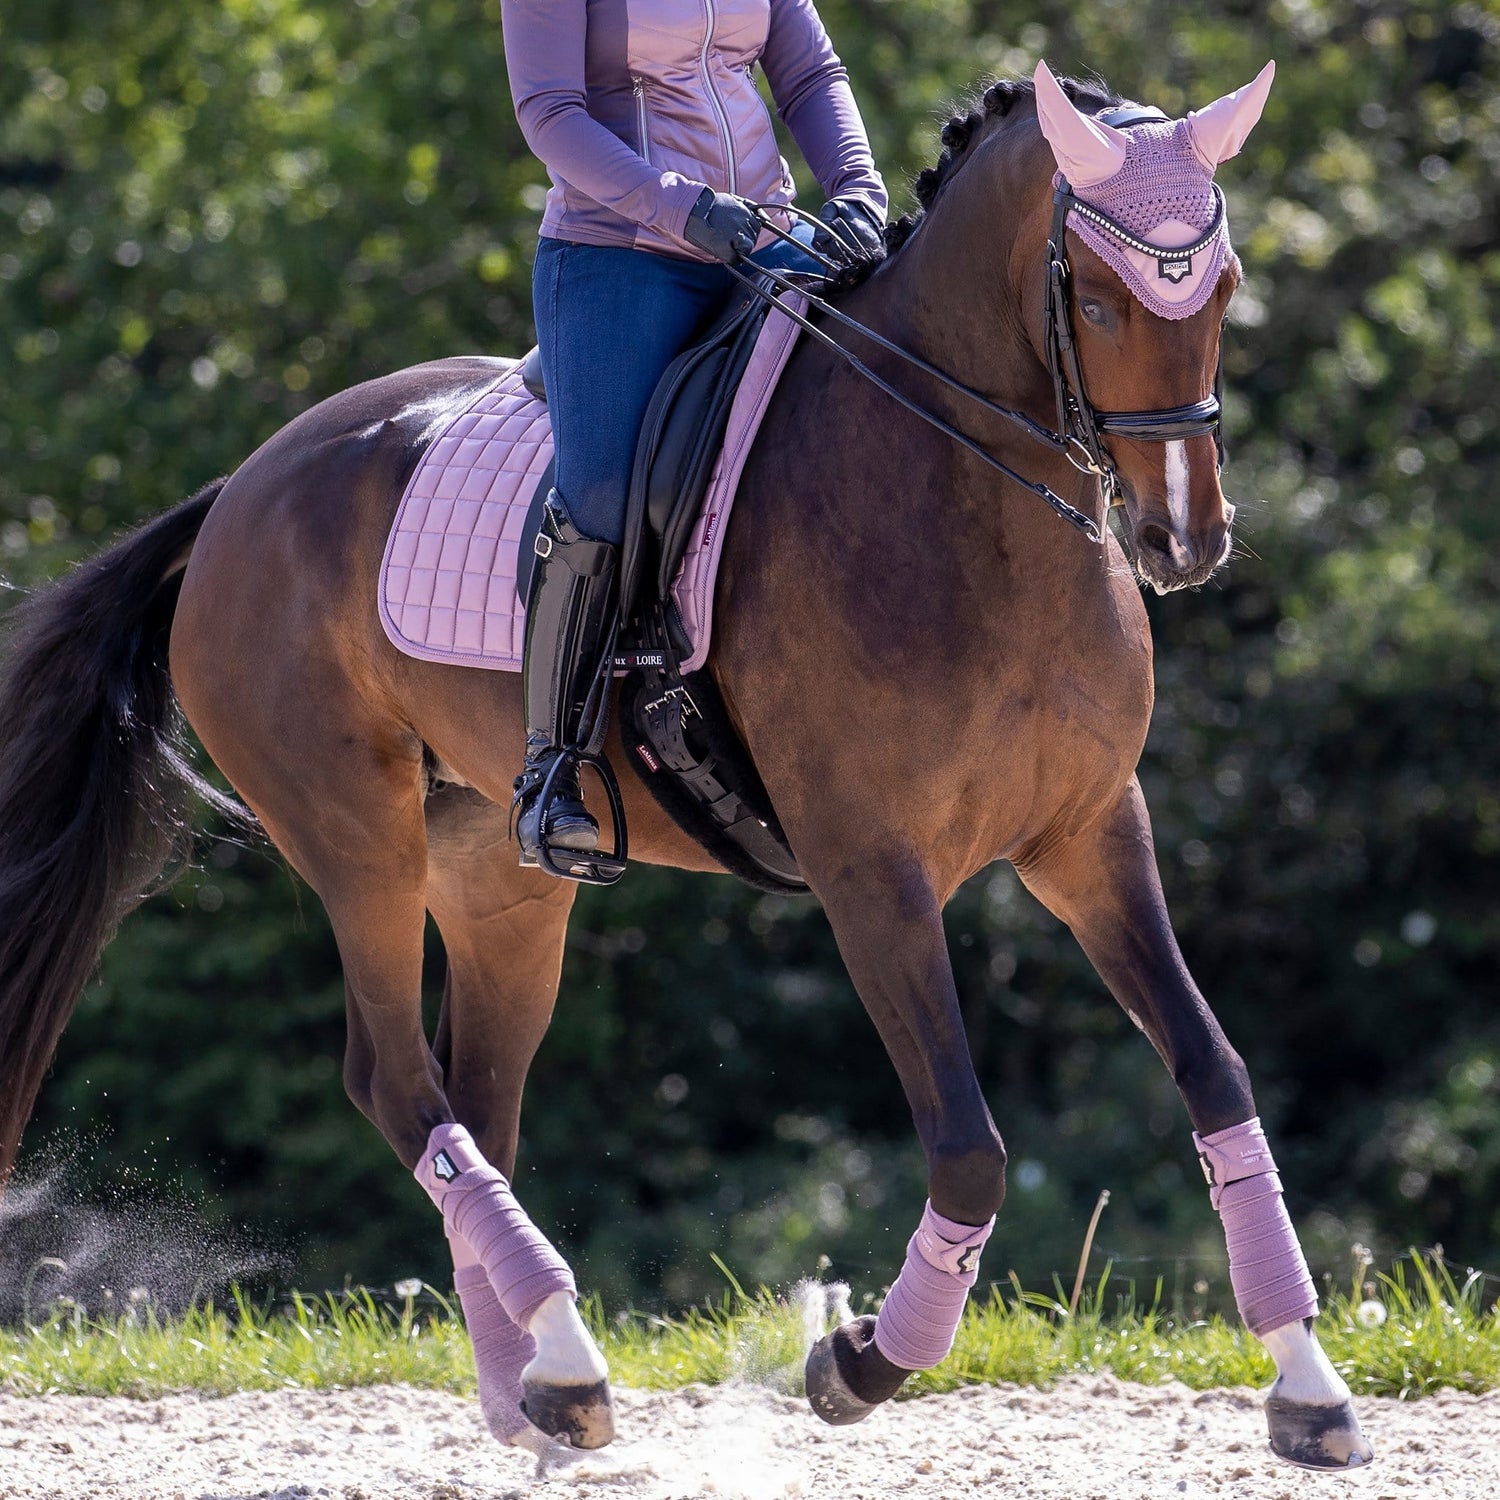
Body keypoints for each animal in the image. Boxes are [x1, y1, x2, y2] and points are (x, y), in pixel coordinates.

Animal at [0, 64, 1374, 1470]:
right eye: (1096, 299)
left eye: (1225, 287)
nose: (1183, 538)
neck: (967, 495)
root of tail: (240, 490)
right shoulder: (872, 872)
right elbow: (969, 1148)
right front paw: (859, 1361)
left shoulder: (1092, 833)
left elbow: (1215, 1074)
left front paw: (1309, 1386)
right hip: (357, 842)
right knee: (394, 1079)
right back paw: (563, 1361)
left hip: (500, 881)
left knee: (474, 1099)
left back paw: (532, 1389)